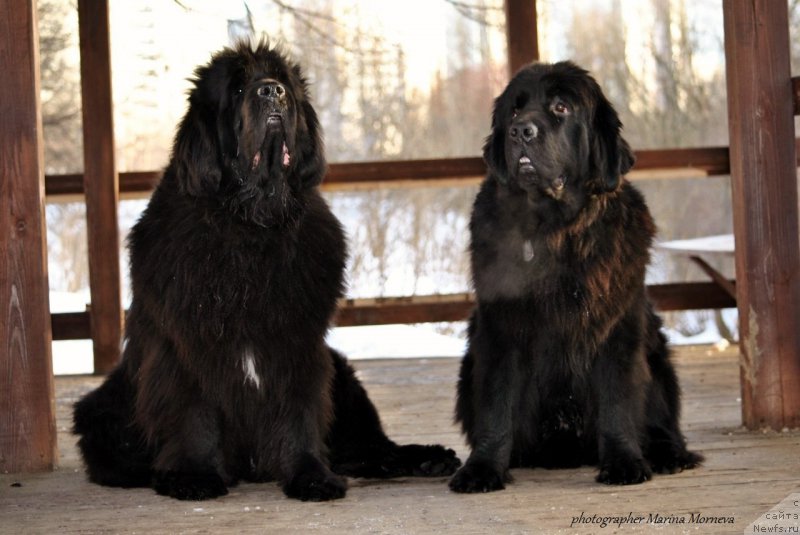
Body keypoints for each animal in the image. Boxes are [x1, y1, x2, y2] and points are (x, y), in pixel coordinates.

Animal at [446, 59, 704, 494]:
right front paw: (482, 468)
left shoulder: (616, 328)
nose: (521, 131)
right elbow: (496, 402)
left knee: (661, 417)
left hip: (657, 353)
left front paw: (623, 462)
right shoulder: (500, 330)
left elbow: (617, 398)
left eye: (561, 108)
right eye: (514, 112)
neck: (556, 231)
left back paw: (669, 453)